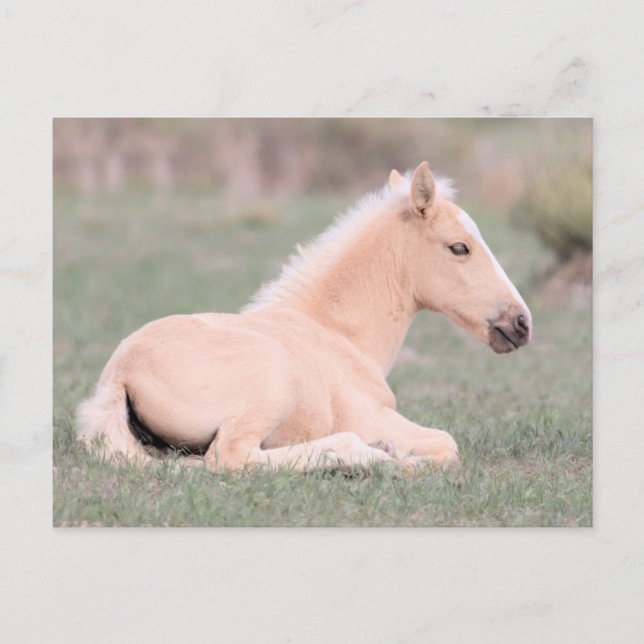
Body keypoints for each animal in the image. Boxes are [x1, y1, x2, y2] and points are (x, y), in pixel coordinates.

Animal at [77, 161, 532, 472]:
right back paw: (368, 458)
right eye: (459, 248)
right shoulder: (369, 414)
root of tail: (119, 376)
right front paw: (397, 457)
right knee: (232, 456)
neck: (337, 333)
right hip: (274, 382)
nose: (522, 323)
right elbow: (446, 444)